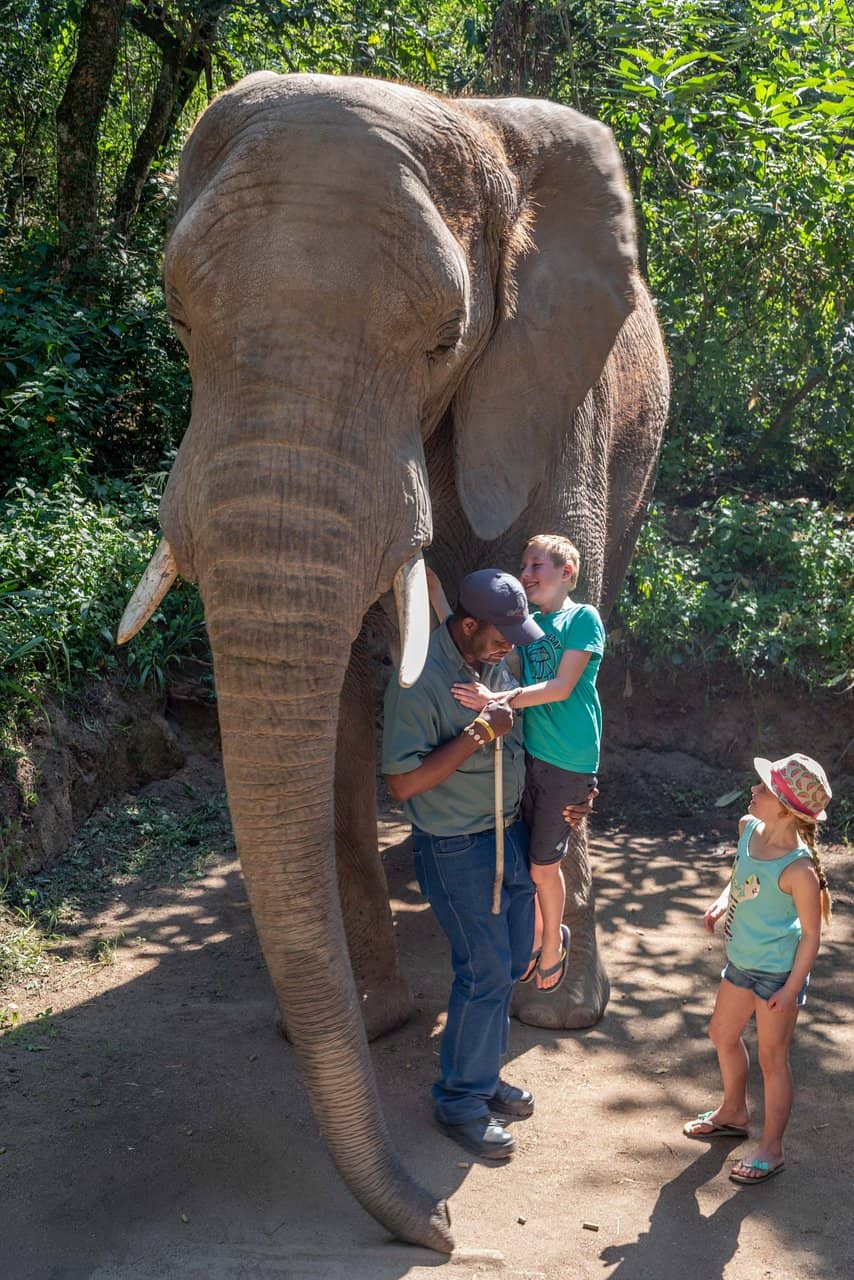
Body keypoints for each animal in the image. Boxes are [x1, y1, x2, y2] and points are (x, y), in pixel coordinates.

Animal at [119, 72, 668, 1253]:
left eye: (445, 339)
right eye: (178, 320)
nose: (440, 1226)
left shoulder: (554, 389)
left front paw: (555, 1011)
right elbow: (333, 697)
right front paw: (373, 1022)